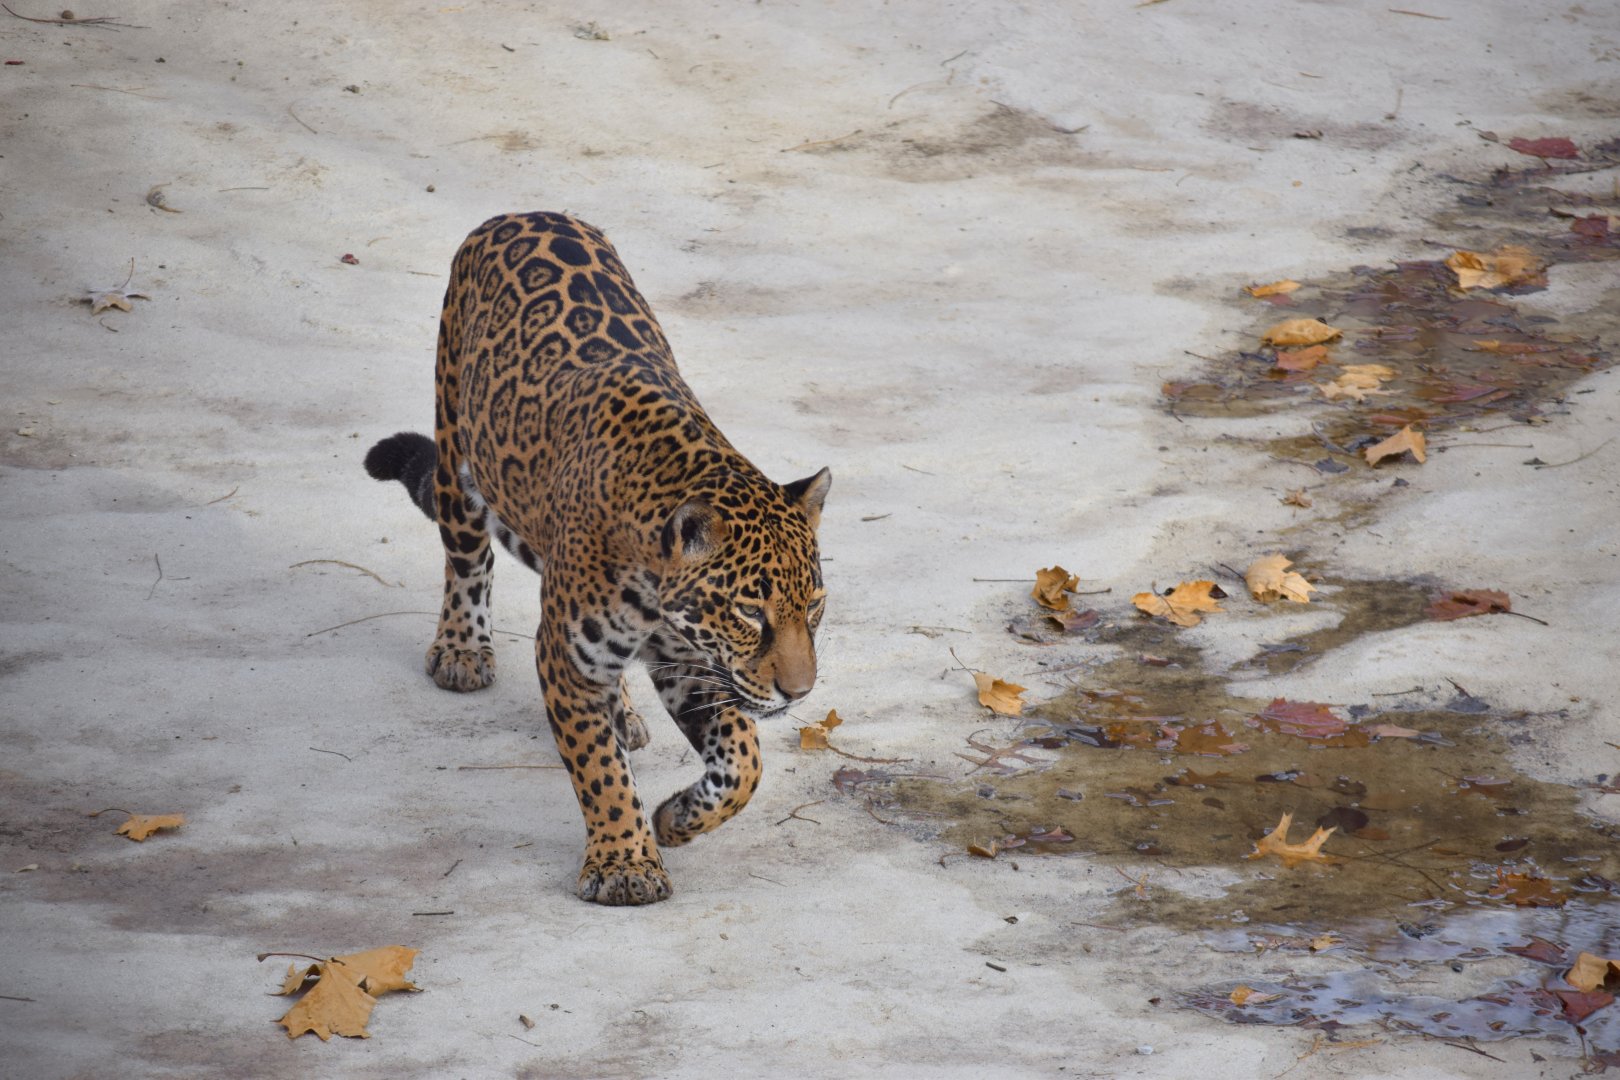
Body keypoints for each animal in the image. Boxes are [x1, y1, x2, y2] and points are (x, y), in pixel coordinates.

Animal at [364, 211, 830, 906]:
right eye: (750, 611)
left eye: (816, 606)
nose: (799, 694)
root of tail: (521, 213)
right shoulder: (564, 653)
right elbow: (600, 770)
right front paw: (625, 865)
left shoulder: (691, 662)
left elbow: (744, 761)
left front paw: (676, 819)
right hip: (455, 450)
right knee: (467, 561)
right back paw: (462, 650)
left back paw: (625, 713)